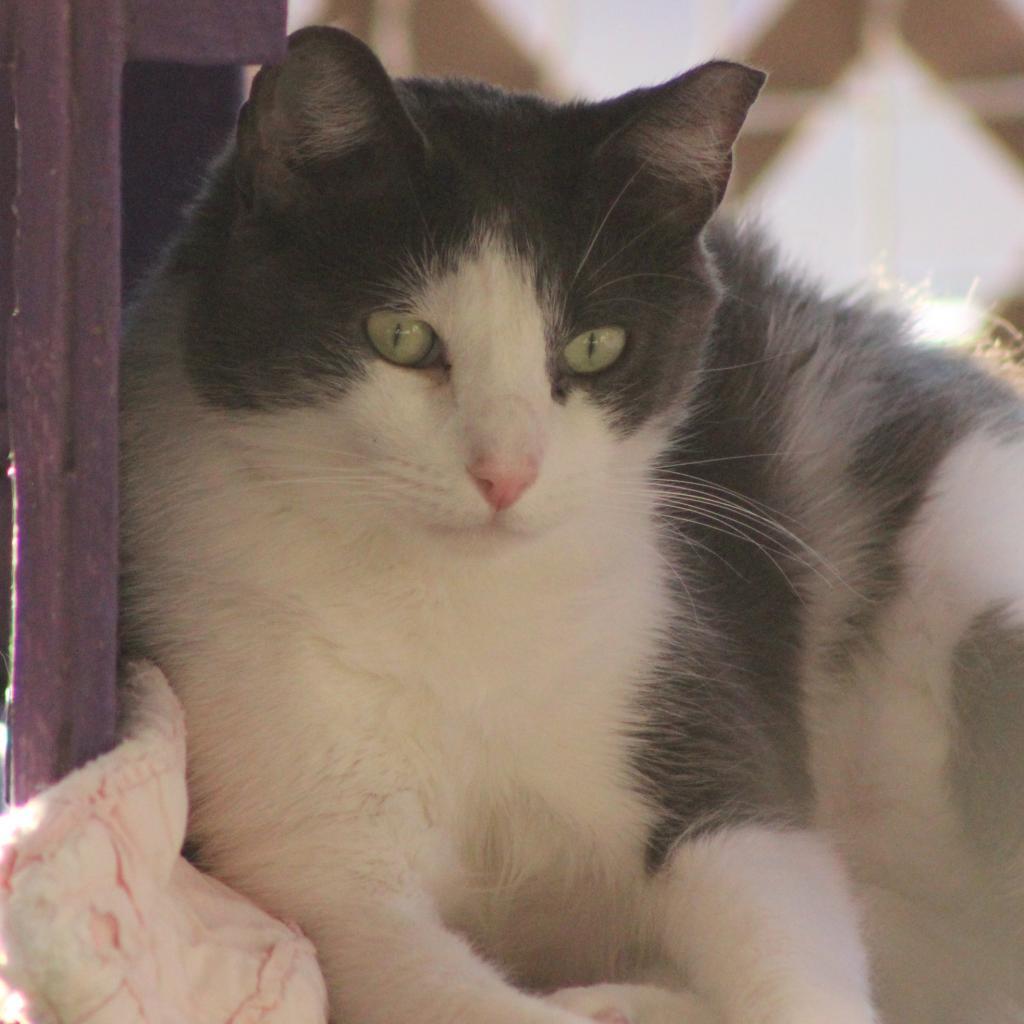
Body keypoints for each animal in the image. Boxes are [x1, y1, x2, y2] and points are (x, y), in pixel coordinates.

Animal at [119, 24, 1024, 1024]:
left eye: (595, 346)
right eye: (399, 337)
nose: (506, 472)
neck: (461, 612)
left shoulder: (706, 743)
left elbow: (780, 920)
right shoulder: (319, 874)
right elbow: (438, 984)